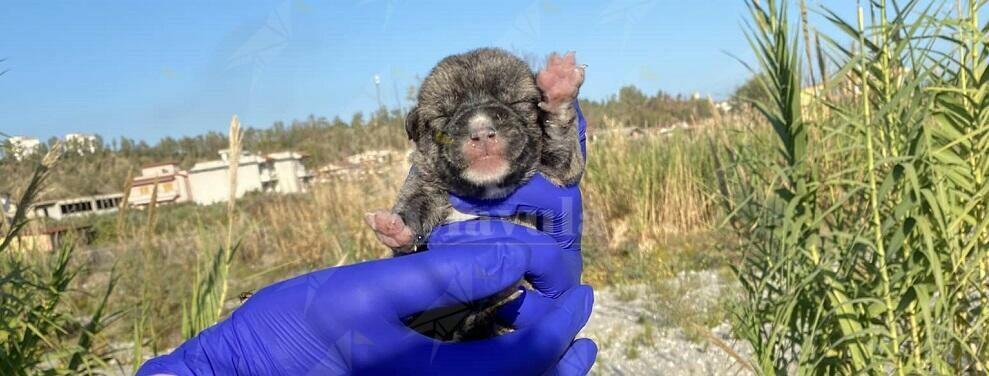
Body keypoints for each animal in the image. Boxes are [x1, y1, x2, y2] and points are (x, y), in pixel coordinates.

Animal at [364, 47, 584, 340]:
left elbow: (561, 146)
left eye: (516, 102)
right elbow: (413, 206)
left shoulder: (561, 173)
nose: (480, 130)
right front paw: (395, 228)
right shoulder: (424, 183)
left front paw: (559, 90)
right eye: (444, 116)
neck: (483, 191)